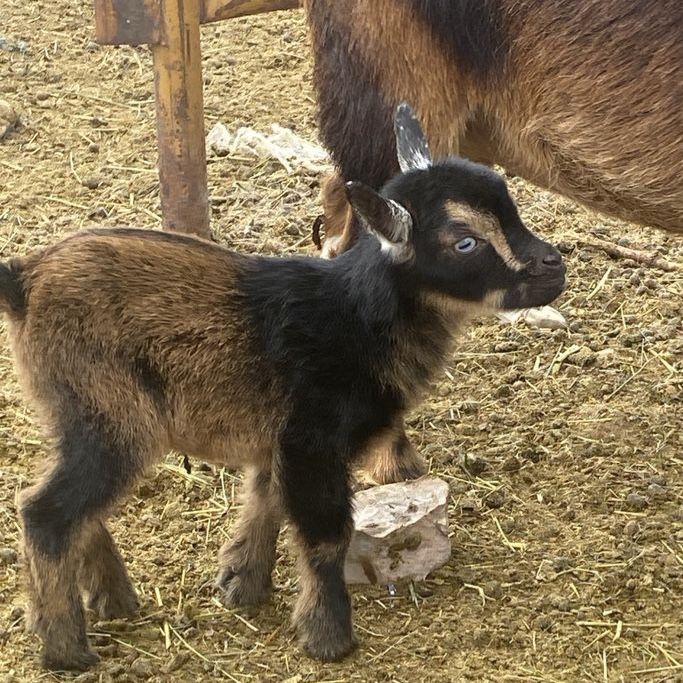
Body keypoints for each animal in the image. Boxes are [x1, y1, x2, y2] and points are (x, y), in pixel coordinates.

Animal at [0, 105, 564, 671]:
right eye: (465, 242)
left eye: (509, 202)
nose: (554, 266)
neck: (357, 318)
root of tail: (23, 283)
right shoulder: (312, 439)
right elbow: (326, 535)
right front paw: (328, 637)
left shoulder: (280, 440)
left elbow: (265, 498)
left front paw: (240, 583)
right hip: (110, 413)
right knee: (47, 512)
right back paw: (67, 648)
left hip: (73, 412)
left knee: (73, 504)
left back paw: (114, 599)